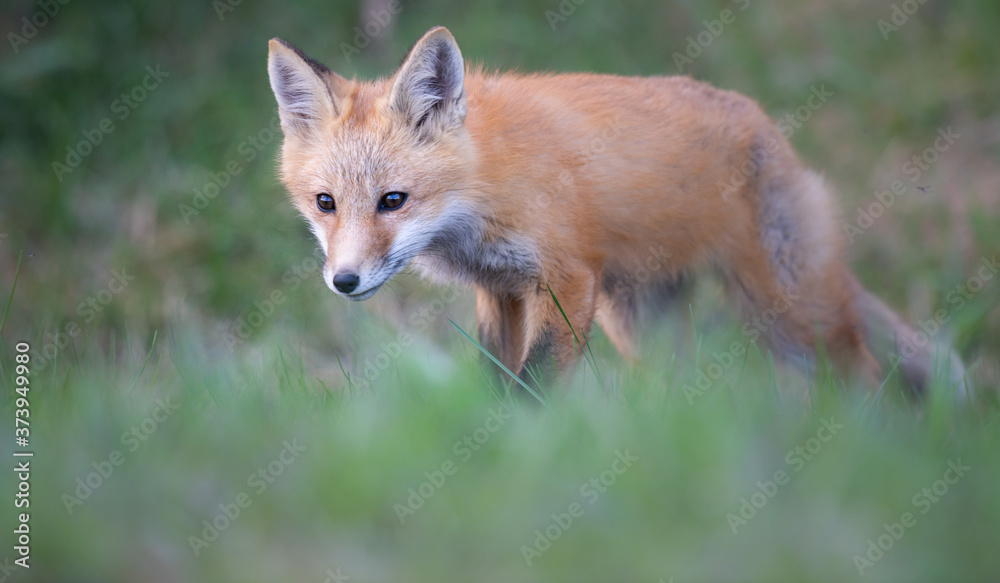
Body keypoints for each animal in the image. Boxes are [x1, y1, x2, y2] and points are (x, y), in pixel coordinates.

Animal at [267, 26, 965, 396]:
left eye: (394, 200)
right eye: (325, 203)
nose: (345, 281)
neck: (482, 189)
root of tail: (766, 124)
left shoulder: (566, 279)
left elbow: (536, 381)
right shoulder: (500, 289)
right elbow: (495, 374)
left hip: (790, 308)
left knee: (859, 370)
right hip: (642, 322)